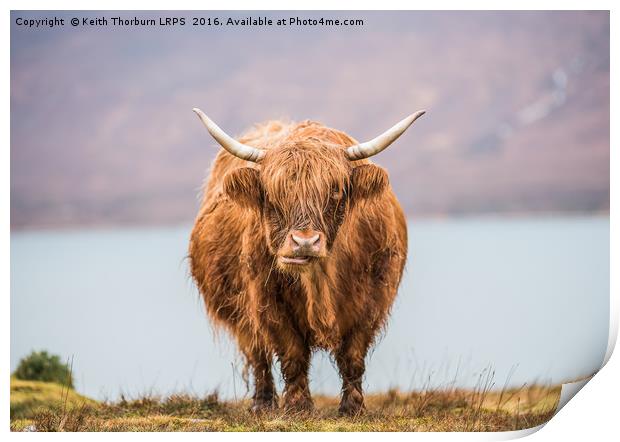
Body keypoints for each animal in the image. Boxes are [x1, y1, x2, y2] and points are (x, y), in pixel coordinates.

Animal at [188, 107, 422, 414]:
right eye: (273, 195)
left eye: (335, 191)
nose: (305, 242)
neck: (319, 281)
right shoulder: (267, 303)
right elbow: (292, 353)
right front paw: (298, 407)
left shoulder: (372, 301)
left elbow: (353, 356)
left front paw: (353, 408)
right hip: (239, 310)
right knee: (257, 354)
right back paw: (263, 404)